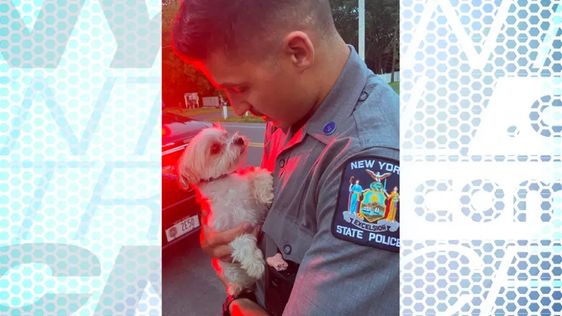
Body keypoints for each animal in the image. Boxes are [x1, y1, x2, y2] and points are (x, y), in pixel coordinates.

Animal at [175, 126, 272, 296]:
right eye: (214, 148)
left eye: (226, 135)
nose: (239, 140)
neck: (225, 183)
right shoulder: (226, 230)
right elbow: (242, 241)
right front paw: (254, 261)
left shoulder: (255, 208)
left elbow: (255, 174)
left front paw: (265, 189)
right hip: (231, 272)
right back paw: (237, 288)